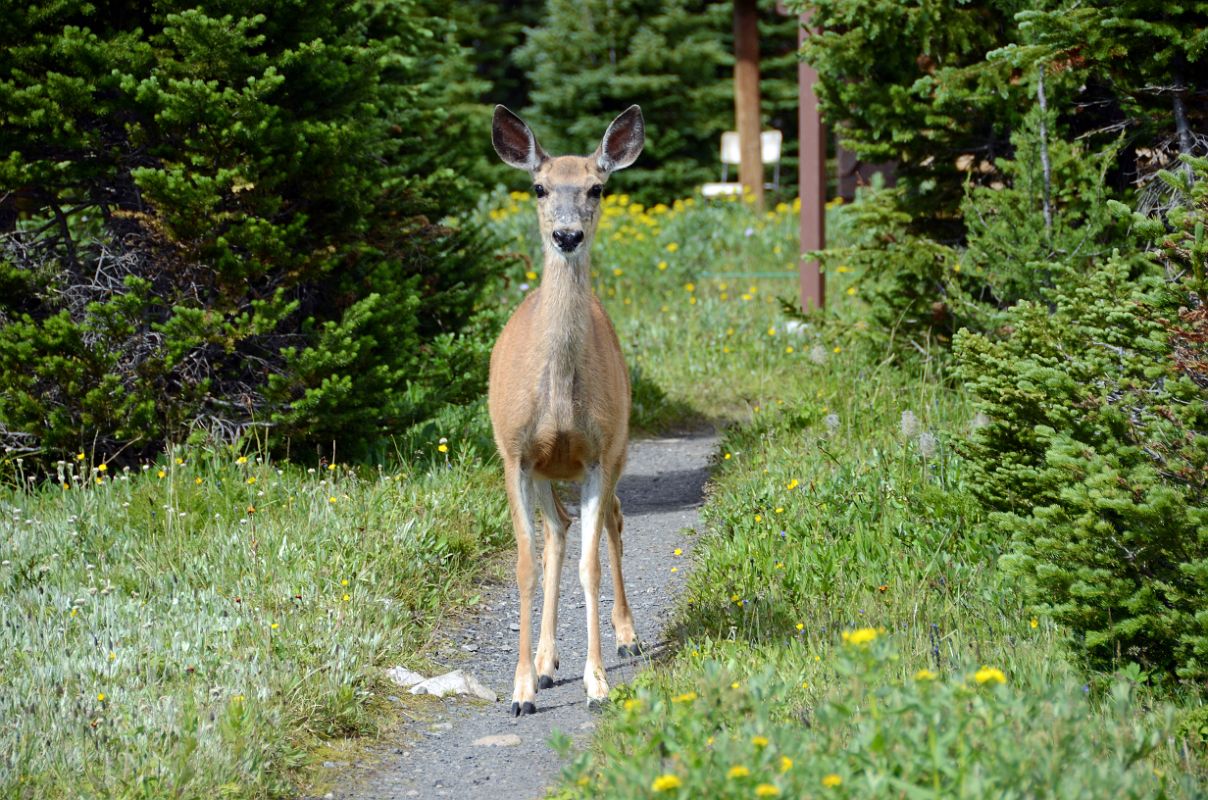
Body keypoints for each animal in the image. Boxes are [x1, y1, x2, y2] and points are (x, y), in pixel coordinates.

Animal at [488, 103, 647, 715]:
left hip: (621, 446)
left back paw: (626, 637)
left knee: (611, 522)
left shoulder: (599, 451)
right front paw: (520, 690)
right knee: (557, 529)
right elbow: (526, 564)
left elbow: (591, 564)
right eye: (538, 186)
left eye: (597, 187)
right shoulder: (515, 454)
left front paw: (597, 682)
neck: (557, 398)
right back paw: (544, 662)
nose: (567, 235)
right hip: (541, 469)